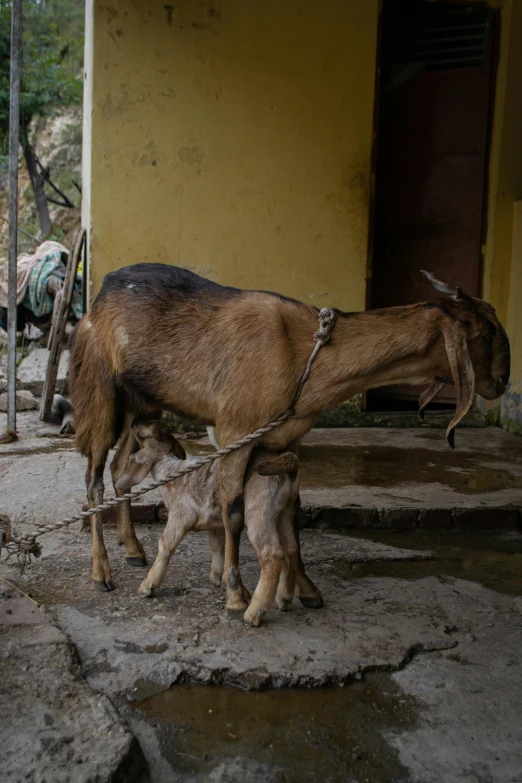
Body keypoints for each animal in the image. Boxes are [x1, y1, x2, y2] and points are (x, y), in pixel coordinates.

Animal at [4, 306, 336, 568]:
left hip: (139, 402)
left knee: (118, 469)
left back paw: (132, 548)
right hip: (104, 405)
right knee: (95, 480)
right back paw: (101, 570)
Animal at [114, 420, 300, 628]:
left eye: (147, 434)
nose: (133, 422)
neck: (171, 473)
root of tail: (289, 468)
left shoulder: (180, 515)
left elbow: (166, 543)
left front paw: (148, 585)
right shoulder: (212, 523)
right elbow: (217, 546)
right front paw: (218, 577)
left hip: (259, 509)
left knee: (272, 554)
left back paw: (254, 612)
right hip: (285, 510)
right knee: (291, 548)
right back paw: (285, 598)